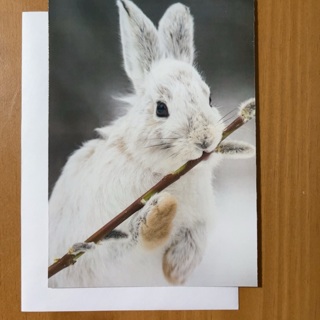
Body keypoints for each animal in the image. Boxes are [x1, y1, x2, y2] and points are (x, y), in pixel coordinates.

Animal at [48, 0, 255, 288]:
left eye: (210, 98)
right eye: (161, 108)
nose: (204, 139)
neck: (163, 172)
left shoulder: (198, 225)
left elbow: (186, 254)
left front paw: (175, 269)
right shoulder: (103, 236)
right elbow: (126, 244)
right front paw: (160, 215)